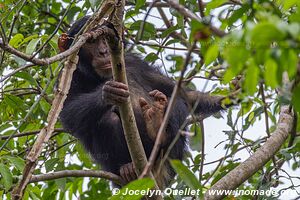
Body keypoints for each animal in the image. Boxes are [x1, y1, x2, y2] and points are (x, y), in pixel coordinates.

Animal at [58, 16, 224, 189]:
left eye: (104, 38)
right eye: (91, 42)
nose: (103, 51)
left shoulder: (135, 62)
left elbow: (182, 94)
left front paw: (225, 98)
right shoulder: (68, 75)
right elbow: (68, 112)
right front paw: (107, 93)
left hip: (171, 159)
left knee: (175, 102)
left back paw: (158, 126)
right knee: (108, 119)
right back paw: (128, 168)